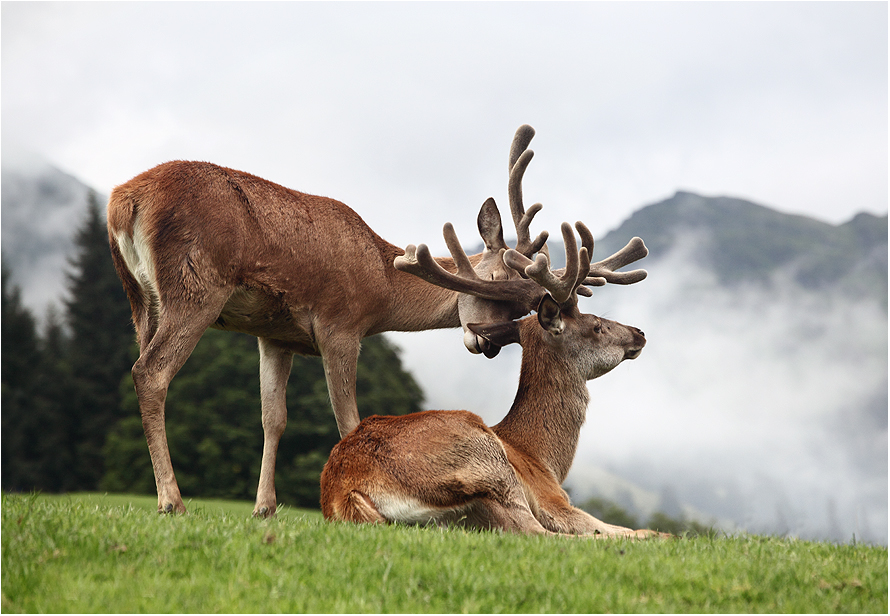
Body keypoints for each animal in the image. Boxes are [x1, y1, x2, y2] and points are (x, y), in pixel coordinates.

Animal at [106, 126, 644, 520]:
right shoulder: (340, 325)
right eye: (498, 287)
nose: (487, 344)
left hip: (140, 298)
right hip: (195, 286)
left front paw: (264, 509)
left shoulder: (273, 335)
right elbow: (349, 420)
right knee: (149, 372)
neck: (380, 289)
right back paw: (171, 500)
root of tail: (123, 202)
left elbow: (273, 418)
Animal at [320, 223, 660, 540]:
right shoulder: (553, 501)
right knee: (535, 532)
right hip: (488, 463)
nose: (639, 333)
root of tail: (345, 491)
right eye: (597, 325)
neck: (543, 460)